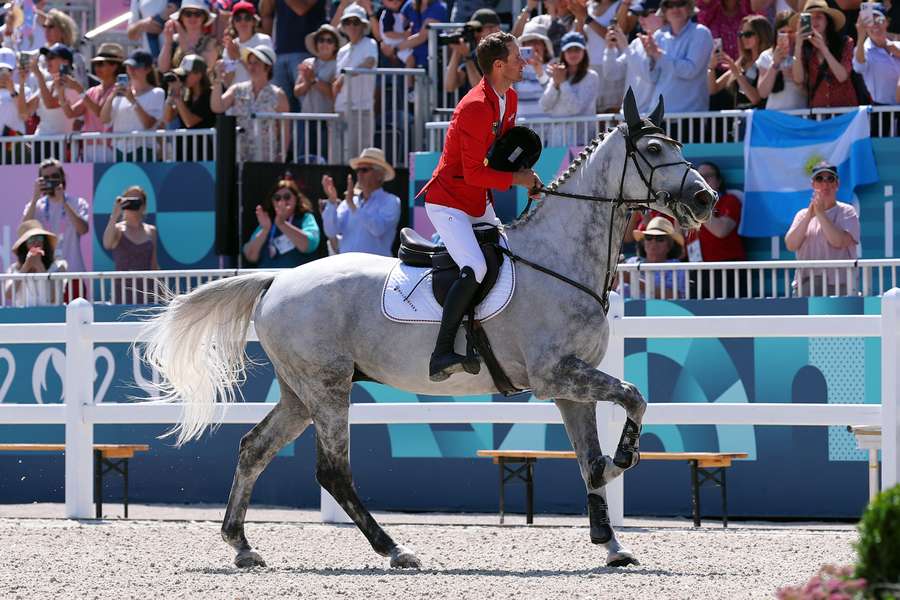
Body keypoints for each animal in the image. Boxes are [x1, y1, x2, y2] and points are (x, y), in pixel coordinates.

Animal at [139, 91, 716, 568]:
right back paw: (394, 549)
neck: (561, 258)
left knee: (254, 448)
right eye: (655, 149)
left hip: (300, 393)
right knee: (333, 471)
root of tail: (277, 279)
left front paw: (612, 543)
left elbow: (588, 459)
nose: (706, 199)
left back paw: (242, 545)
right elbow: (634, 397)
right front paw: (625, 460)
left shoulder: (571, 386)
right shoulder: (556, 376)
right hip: (327, 389)